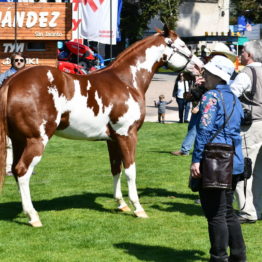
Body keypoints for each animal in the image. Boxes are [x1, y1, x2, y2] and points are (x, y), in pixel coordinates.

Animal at [0, 27, 203, 227]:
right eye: (183, 45)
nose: (200, 66)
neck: (126, 81)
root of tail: (12, 82)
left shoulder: (113, 139)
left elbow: (115, 168)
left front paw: (121, 204)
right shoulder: (127, 135)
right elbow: (130, 171)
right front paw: (138, 208)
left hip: (19, 141)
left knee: (16, 171)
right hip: (36, 140)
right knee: (23, 171)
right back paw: (33, 216)